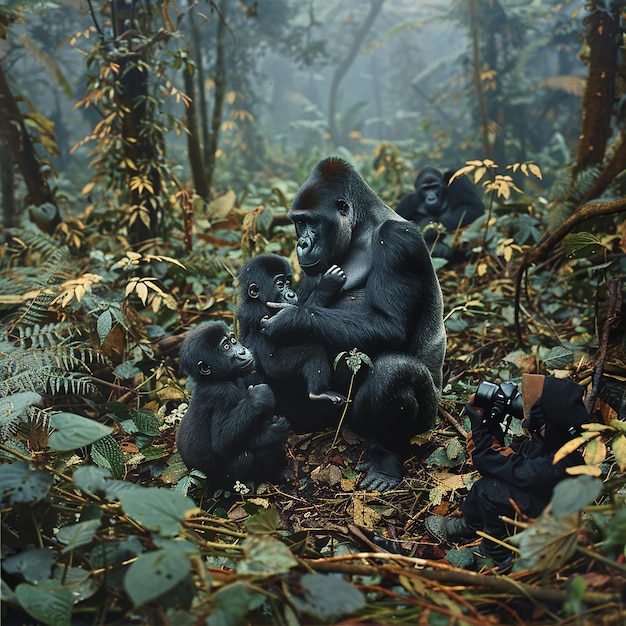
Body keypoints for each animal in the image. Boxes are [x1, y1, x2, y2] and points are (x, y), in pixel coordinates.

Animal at [174, 322, 288, 488]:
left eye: (233, 341)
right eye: (226, 347)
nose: (242, 351)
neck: (215, 378)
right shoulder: (222, 393)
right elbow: (222, 443)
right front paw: (259, 399)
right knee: (244, 458)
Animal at [236, 254, 346, 404]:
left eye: (288, 282)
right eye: (280, 284)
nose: (291, 294)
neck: (255, 300)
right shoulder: (258, 313)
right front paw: (326, 286)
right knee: (314, 351)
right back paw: (318, 392)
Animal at [260, 155, 446, 488]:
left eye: (312, 222)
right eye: (298, 222)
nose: (302, 244)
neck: (362, 227)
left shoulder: (399, 241)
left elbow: (390, 326)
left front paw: (289, 320)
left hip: (426, 419)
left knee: (393, 372)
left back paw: (385, 456)